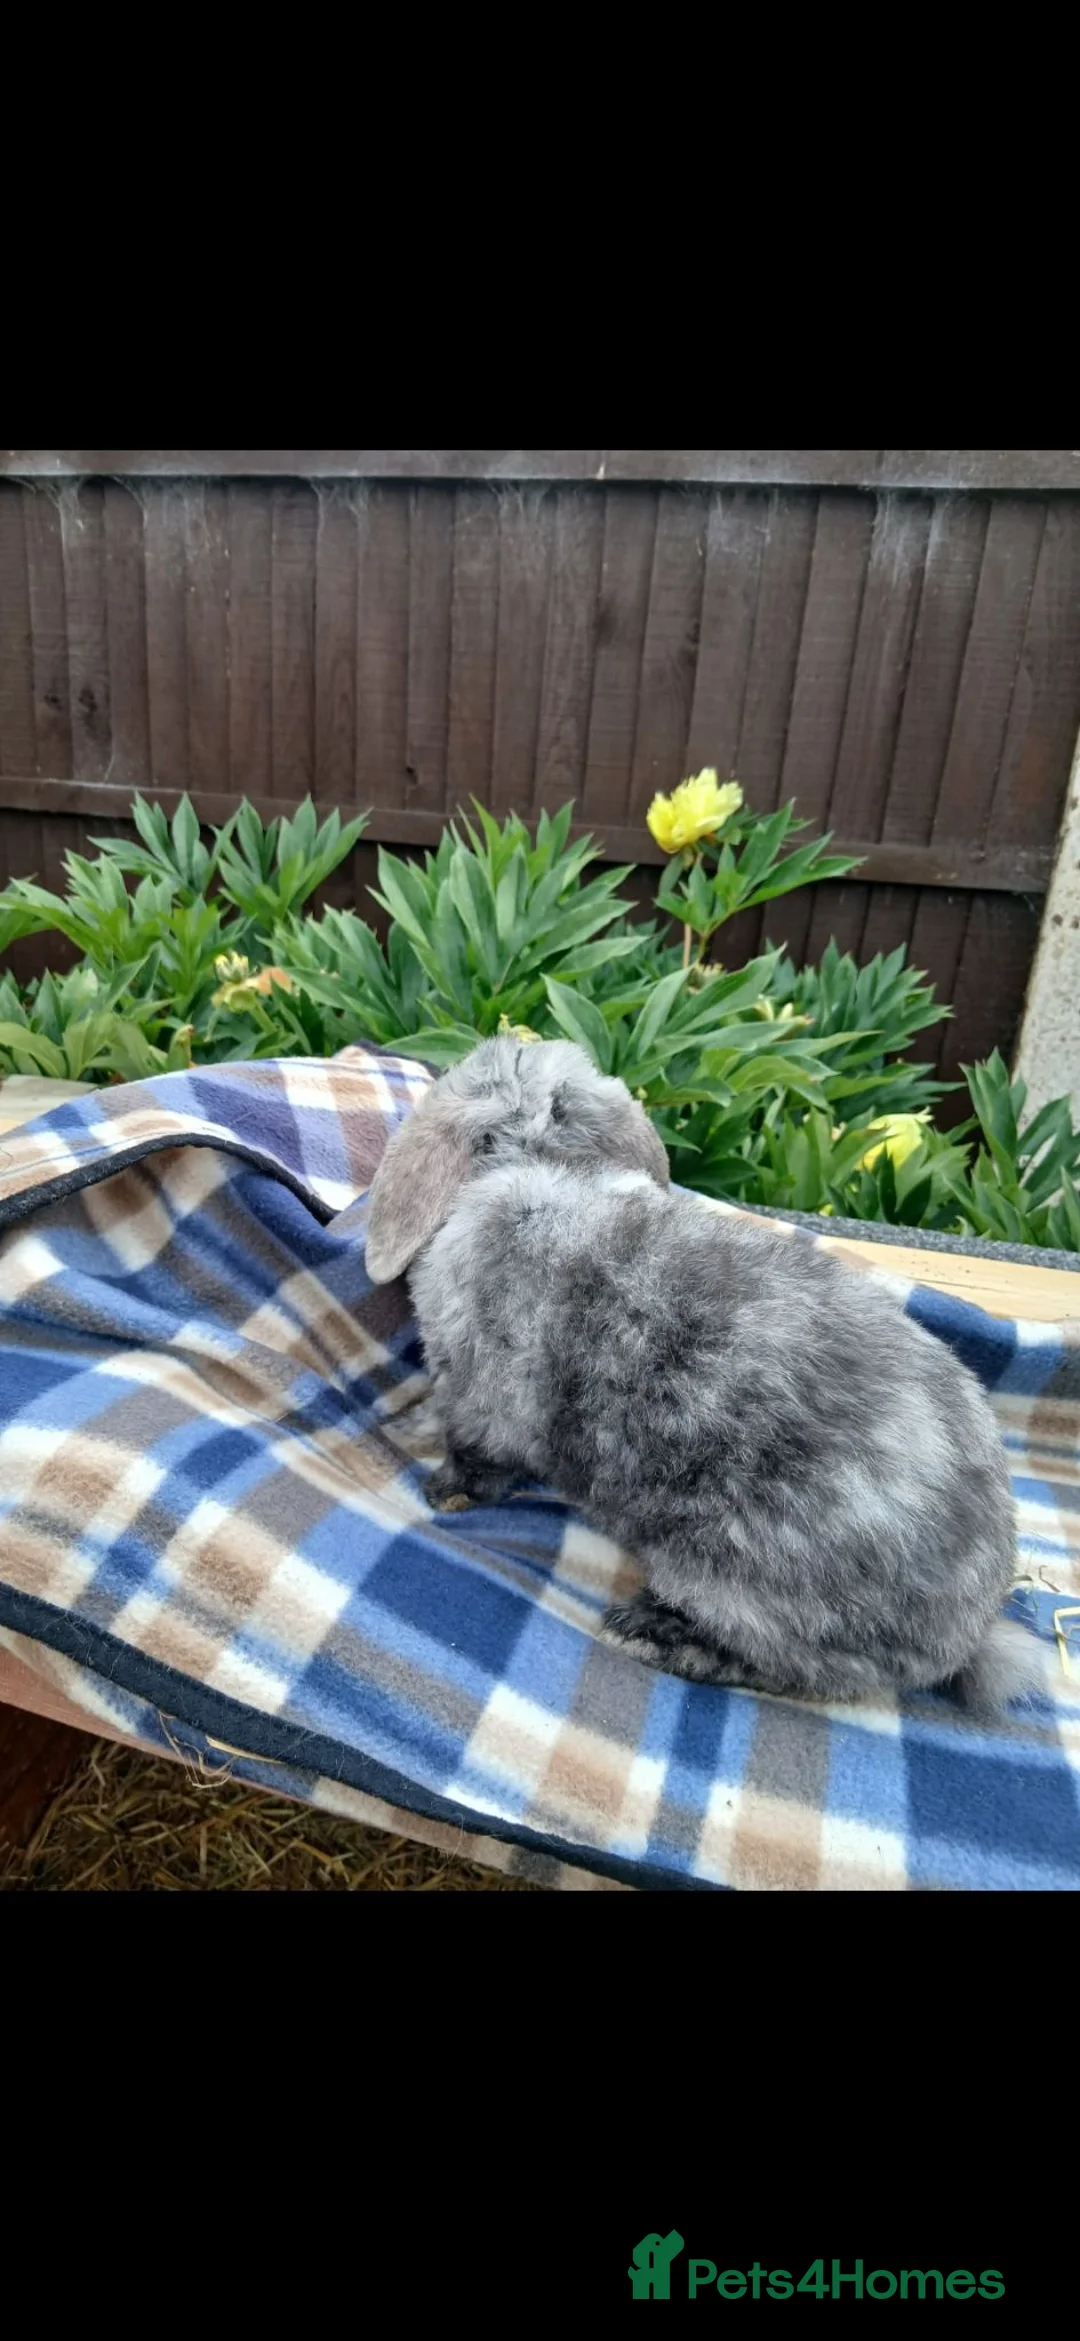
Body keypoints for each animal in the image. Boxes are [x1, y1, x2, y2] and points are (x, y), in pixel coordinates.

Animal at [365, 1037, 1040, 1712]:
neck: (546, 1162)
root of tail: (965, 1634)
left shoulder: (482, 1391)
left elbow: (475, 1450)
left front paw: (440, 1489)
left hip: (730, 1584)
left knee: (786, 1670)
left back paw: (647, 1633)